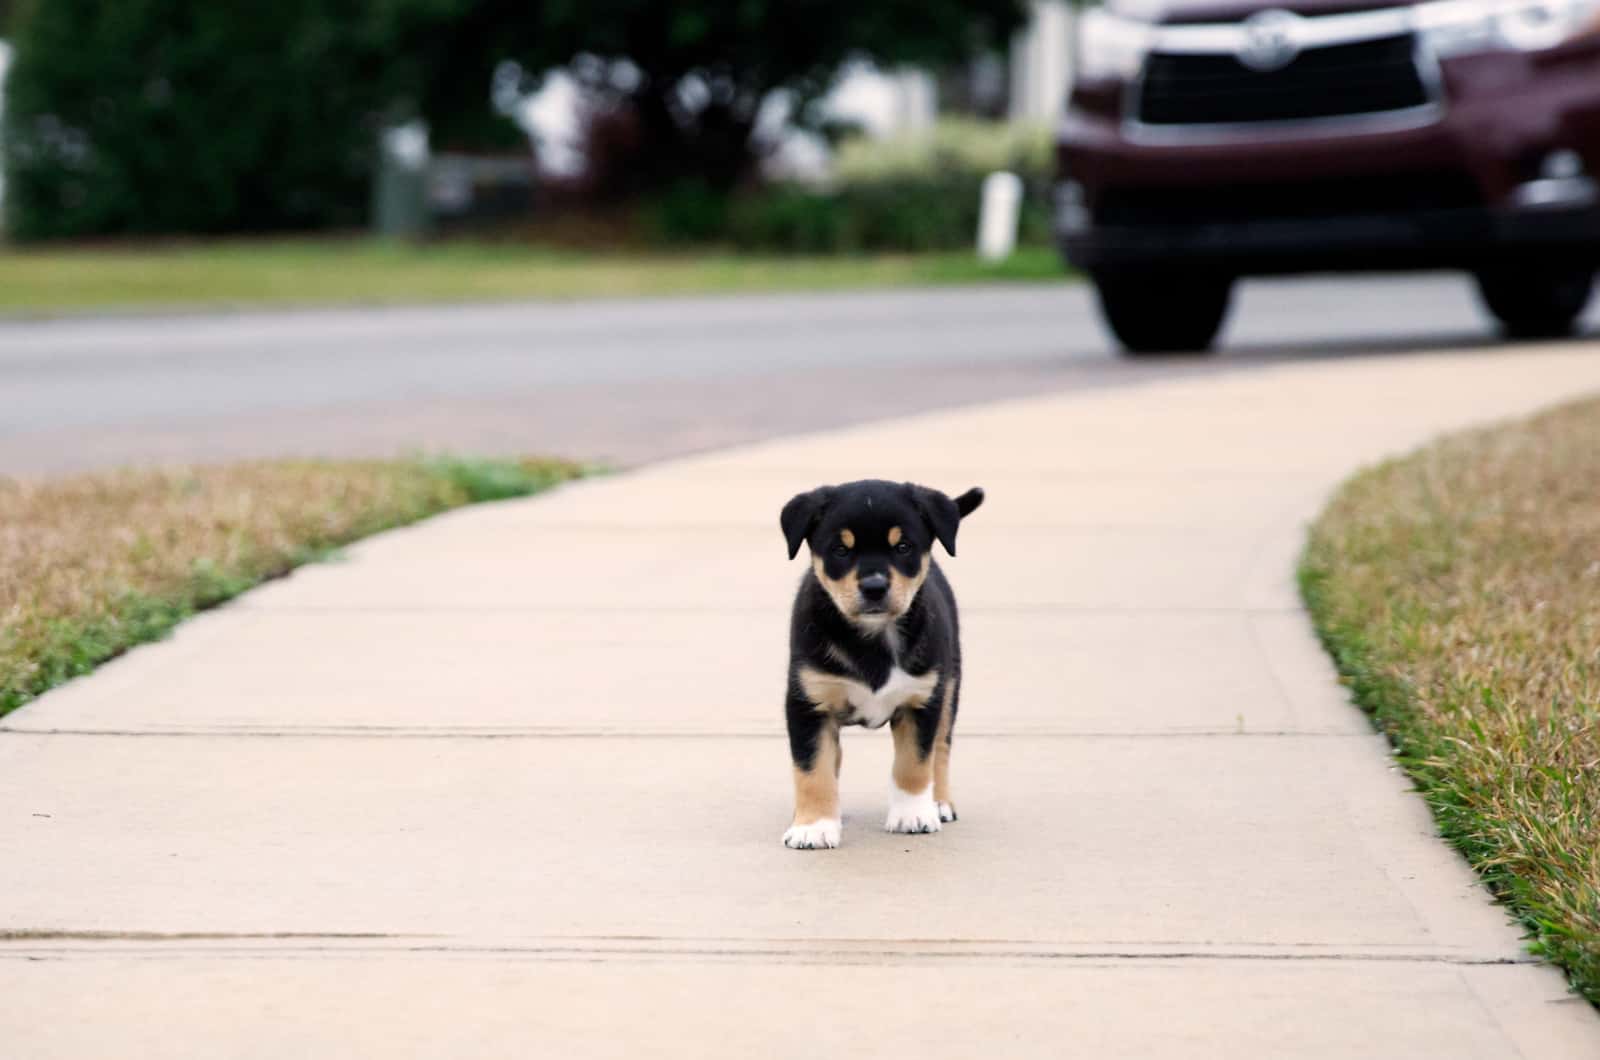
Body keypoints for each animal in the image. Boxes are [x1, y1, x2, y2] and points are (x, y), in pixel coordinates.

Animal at [777, 486, 979, 851]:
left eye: (903, 547)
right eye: (840, 550)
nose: (874, 587)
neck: (872, 640)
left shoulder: (920, 701)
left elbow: (914, 763)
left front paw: (912, 815)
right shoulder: (809, 703)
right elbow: (813, 769)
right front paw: (813, 825)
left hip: (948, 688)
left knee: (941, 748)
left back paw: (939, 802)